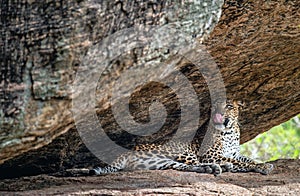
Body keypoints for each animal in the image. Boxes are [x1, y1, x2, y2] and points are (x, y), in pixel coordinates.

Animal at [89, 99, 274, 176]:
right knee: (197, 163)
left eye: (229, 106)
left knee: (184, 167)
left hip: (158, 162)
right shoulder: (211, 155)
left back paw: (214, 169)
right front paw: (263, 167)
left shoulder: (234, 153)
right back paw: (219, 167)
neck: (230, 131)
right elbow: (243, 163)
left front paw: (263, 164)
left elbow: (247, 159)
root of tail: (127, 151)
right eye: (215, 106)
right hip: (183, 151)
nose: (218, 113)